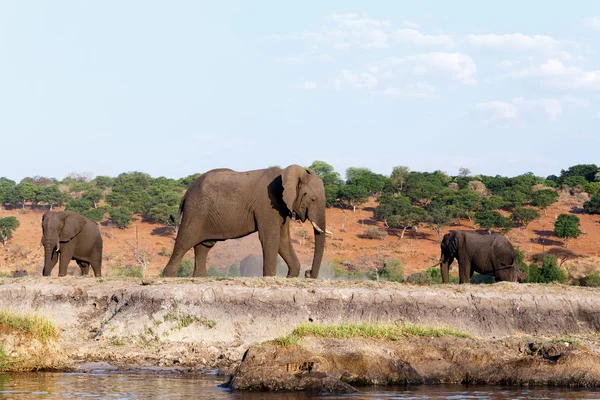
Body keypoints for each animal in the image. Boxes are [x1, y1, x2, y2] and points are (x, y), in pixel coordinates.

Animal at [162, 165, 328, 278]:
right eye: (312, 199)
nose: (308, 273)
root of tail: (187, 193)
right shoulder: (267, 203)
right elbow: (270, 238)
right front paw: (270, 277)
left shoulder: (282, 206)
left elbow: (283, 240)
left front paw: (290, 276)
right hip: (196, 210)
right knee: (184, 241)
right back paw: (168, 276)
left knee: (203, 246)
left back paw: (201, 278)